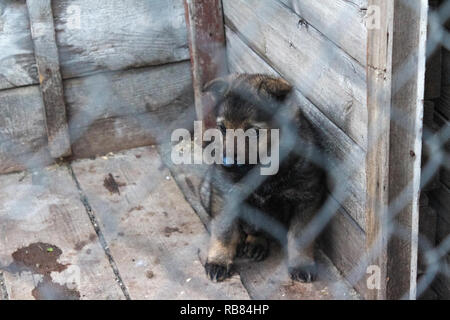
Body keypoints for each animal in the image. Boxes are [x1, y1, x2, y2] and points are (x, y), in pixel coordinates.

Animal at [202, 73, 326, 282]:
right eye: (222, 128)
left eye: (253, 131)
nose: (225, 164)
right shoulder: (226, 195)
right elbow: (224, 230)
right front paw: (219, 260)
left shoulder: (307, 199)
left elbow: (300, 236)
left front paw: (301, 264)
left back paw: (256, 243)